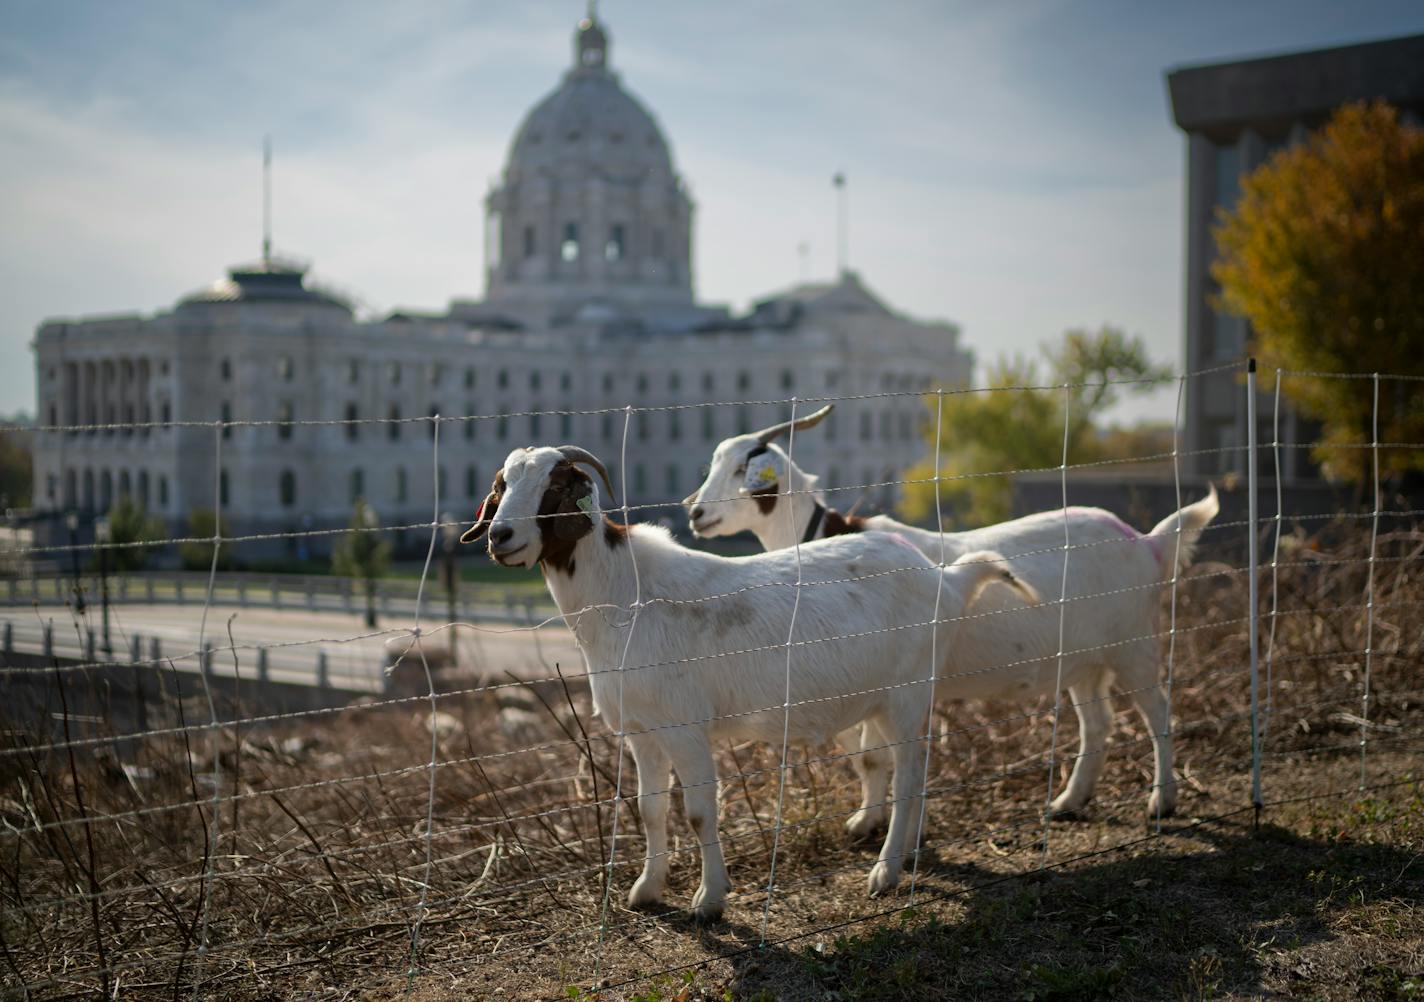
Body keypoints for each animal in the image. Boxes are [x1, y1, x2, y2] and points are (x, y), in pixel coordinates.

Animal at [461, 446, 1042, 922]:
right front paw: (646, 890)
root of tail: (945, 578)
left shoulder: (686, 728)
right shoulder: (643, 731)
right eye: (500, 487)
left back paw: (886, 872)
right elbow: (650, 809)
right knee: (903, 773)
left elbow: (698, 813)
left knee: (909, 777)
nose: (499, 537)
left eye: (556, 487)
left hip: (909, 693)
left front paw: (709, 900)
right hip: (882, 699)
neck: (623, 596)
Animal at [683, 404, 1218, 831]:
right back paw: (1069, 800)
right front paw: (875, 821)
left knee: (1158, 712)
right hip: (1087, 661)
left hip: (1134, 645)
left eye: (742, 470)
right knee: (1098, 723)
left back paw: (1162, 801)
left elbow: (874, 757)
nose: (695, 515)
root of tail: (1147, 542)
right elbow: (870, 759)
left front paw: (882, 828)